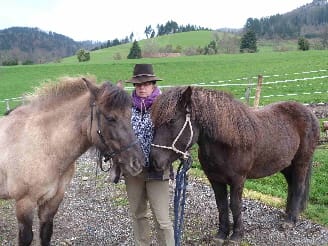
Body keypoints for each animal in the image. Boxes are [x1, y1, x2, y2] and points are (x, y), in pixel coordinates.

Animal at [0, 76, 144, 244]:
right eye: (110, 118)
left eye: (130, 115)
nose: (138, 162)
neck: (45, 145)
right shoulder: (25, 203)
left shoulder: (53, 200)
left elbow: (46, 234)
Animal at [150, 86, 320, 244]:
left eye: (171, 120)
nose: (154, 161)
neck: (229, 142)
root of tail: (310, 113)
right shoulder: (215, 179)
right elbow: (222, 205)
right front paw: (221, 234)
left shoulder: (238, 180)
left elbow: (235, 205)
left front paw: (237, 235)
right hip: (286, 165)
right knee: (292, 186)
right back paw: (288, 214)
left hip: (301, 163)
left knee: (298, 187)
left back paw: (290, 220)